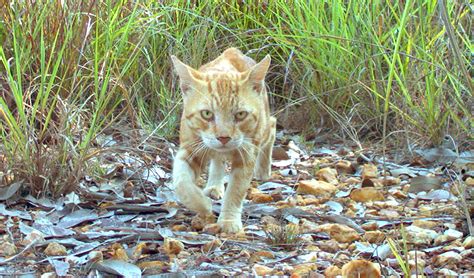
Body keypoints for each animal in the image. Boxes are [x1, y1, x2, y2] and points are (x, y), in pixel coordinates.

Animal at [170, 47, 276, 232]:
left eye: (241, 114)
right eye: (207, 114)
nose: (224, 137)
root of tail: (232, 51)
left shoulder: (246, 155)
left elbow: (236, 190)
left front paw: (229, 220)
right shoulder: (190, 149)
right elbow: (181, 182)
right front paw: (202, 204)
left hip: (263, 130)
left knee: (273, 124)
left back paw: (263, 169)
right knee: (218, 161)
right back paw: (214, 185)